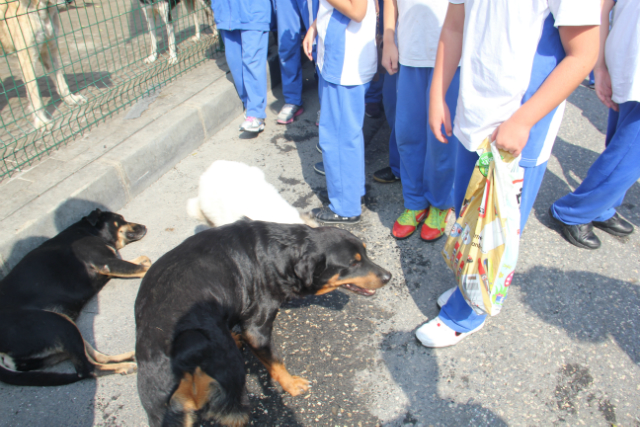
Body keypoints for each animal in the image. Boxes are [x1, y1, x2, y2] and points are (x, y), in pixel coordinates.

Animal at [0, 209, 149, 386]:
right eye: (120, 219)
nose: (144, 226)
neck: (89, 231)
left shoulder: (110, 265)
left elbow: (140, 262)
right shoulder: (106, 263)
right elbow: (142, 268)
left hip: (65, 326)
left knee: (96, 356)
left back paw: (126, 357)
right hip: (58, 324)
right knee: (88, 369)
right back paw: (124, 366)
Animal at [136, 221, 390, 427]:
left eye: (366, 254)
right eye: (352, 264)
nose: (388, 277)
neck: (281, 254)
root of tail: (185, 360)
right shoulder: (257, 330)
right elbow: (276, 361)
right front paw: (291, 384)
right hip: (233, 390)